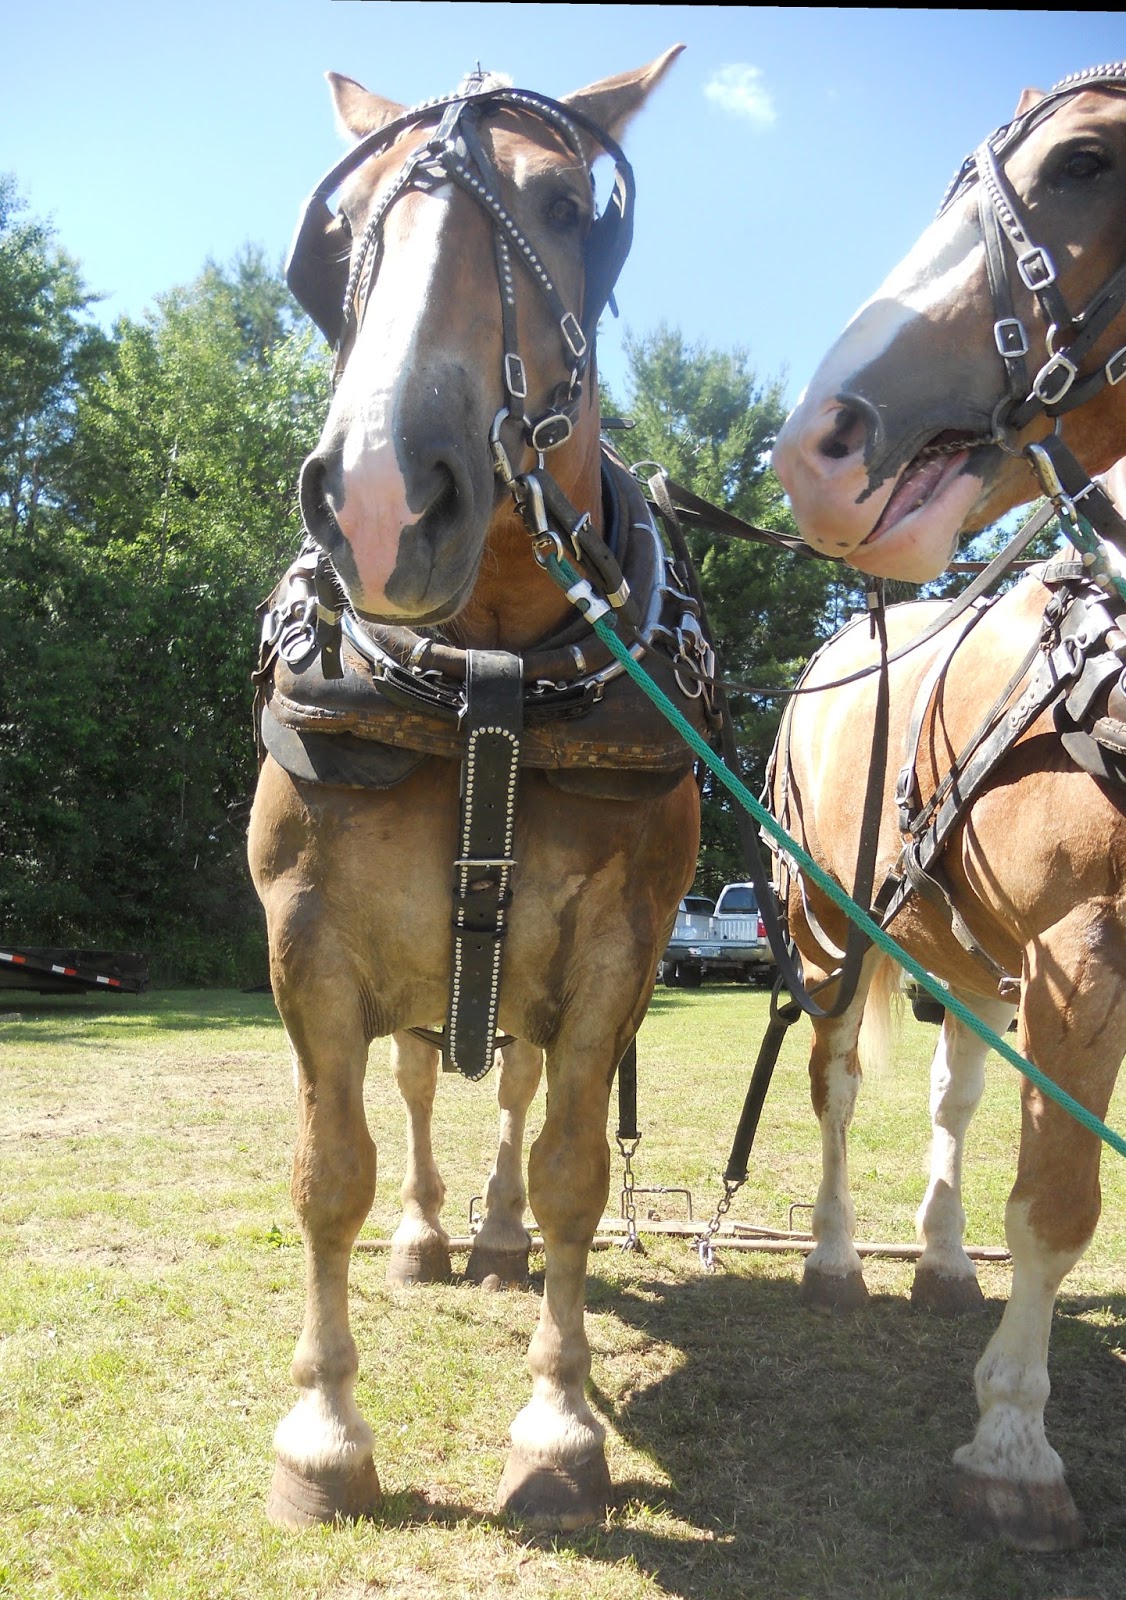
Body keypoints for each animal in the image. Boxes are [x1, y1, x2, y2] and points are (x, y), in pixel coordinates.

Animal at [247, 50, 704, 1532]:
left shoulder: (617, 950)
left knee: (514, 1095)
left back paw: (491, 1236)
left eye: (563, 206)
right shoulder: (309, 937)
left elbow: (570, 1175)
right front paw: (325, 1435)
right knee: (414, 1088)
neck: (490, 676)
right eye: (343, 233)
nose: (383, 499)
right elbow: (330, 1175)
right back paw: (431, 1233)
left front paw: (559, 1426)